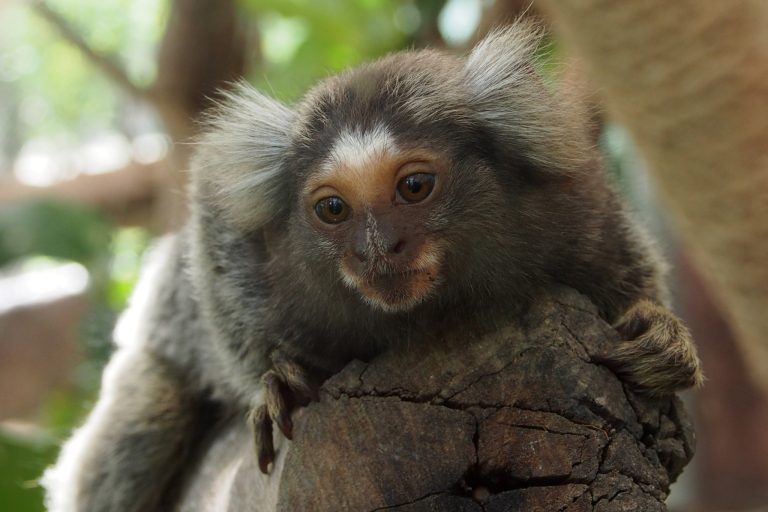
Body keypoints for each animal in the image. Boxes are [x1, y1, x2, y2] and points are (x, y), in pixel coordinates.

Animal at [42, 23, 702, 512]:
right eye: (333, 209)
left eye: (414, 186)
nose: (378, 248)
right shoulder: (235, 243)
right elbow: (214, 271)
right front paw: (274, 380)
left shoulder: (577, 213)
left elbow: (631, 280)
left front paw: (659, 335)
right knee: (141, 429)